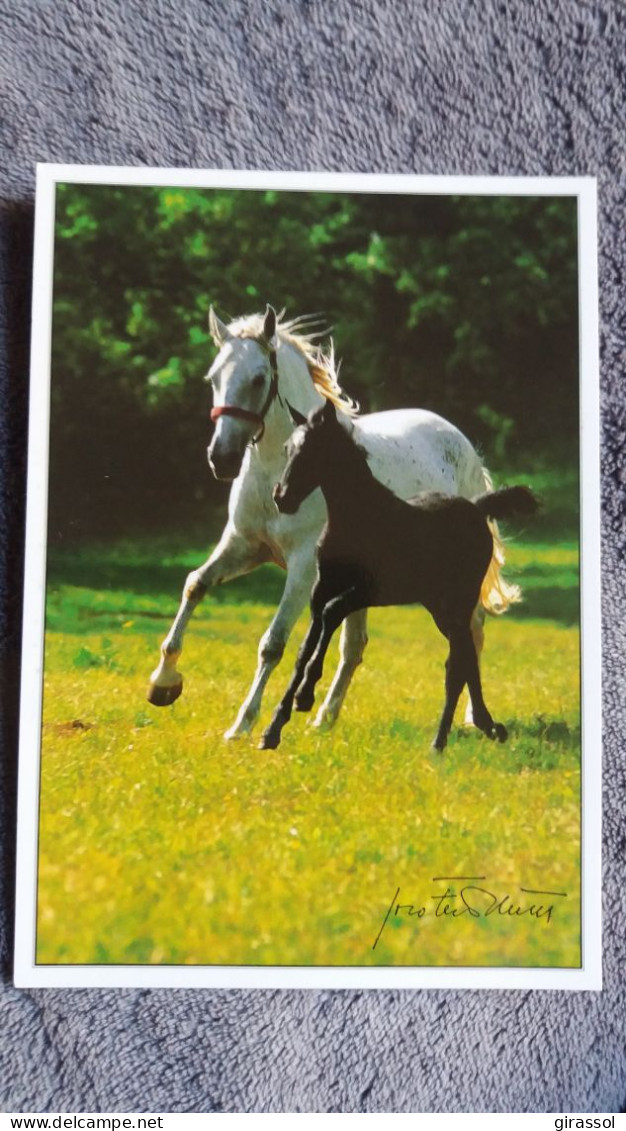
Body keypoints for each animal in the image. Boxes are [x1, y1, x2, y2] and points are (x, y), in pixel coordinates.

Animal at [147, 305, 518, 737]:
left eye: (258, 379)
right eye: (213, 378)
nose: (221, 459)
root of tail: (460, 443)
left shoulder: (304, 568)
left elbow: (273, 643)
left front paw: (241, 725)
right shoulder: (242, 547)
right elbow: (195, 585)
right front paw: (163, 685)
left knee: (471, 628)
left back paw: (474, 718)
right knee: (356, 645)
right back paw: (324, 718)